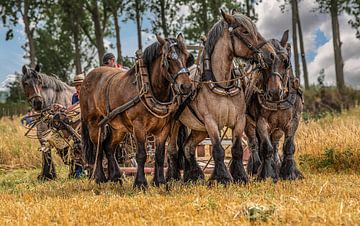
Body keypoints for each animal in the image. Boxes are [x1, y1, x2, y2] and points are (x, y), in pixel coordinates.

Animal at [81, 34, 194, 187]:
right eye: (169, 58)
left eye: (186, 57)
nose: (186, 86)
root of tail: (87, 77)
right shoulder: (138, 127)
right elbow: (141, 155)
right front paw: (140, 183)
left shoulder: (164, 128)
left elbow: (159, 155)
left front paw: (159, 181)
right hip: (94, 123)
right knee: (98, 149)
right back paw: (100, 178)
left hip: (118, 127)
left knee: (108, 147)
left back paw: (116, 177)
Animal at [245, 30, 304, 182]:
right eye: (264, 64)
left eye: (286, 62)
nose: (275, 93)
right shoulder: (261, 122)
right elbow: (266, 147)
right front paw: (266, 174)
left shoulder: (294, 120)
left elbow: (288, 146)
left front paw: (290, 173)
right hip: (248, 124)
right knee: (254, 144)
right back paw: (255, 167)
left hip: (277, 128)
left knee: (276, 144)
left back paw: (276, 164)